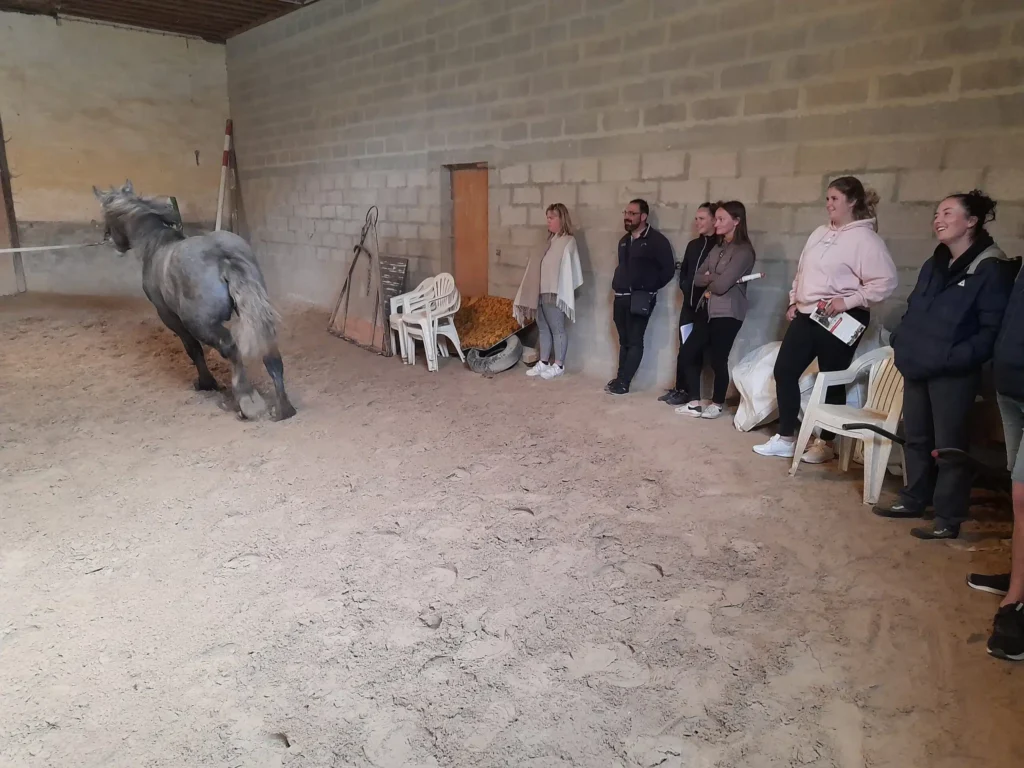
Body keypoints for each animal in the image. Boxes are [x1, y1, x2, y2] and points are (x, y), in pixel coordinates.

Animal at [93, 180, 296, 421]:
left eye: (107, 215)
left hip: (200, 324)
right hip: (256, 312)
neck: (156, 245)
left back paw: (248, 401)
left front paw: (206, 383)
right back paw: (283, 408)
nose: (112, 242)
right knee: (269, 350)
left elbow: (193, 349)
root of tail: (222, 255)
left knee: (231, 348)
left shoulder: (171, 318)